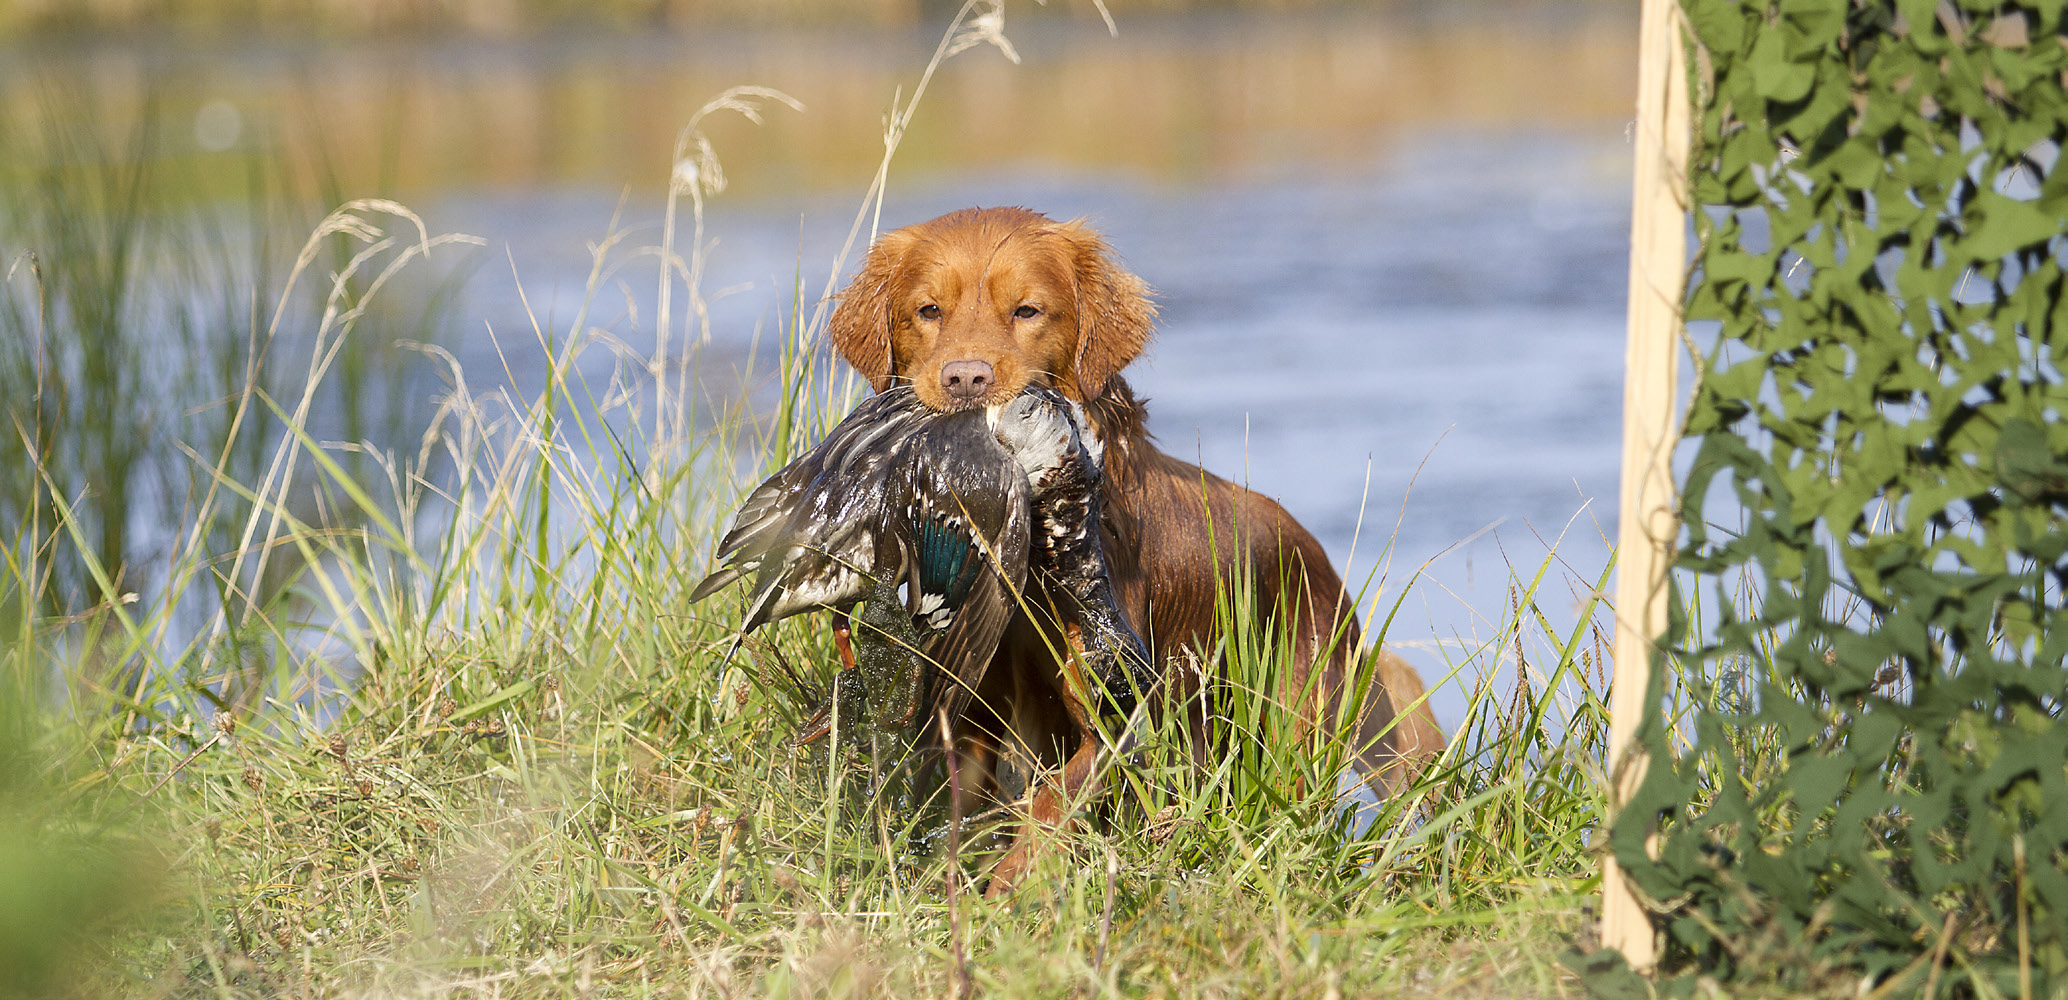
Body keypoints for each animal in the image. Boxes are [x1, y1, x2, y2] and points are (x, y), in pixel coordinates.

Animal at [823, 205, 1439, 892]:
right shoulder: (974, 711)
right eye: (928, 310)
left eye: (1027, 310)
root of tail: (1321, 560)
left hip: (1293, 708)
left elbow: (1048, 811)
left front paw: (1005, 893)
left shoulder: (1112, 711)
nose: (965, 379)